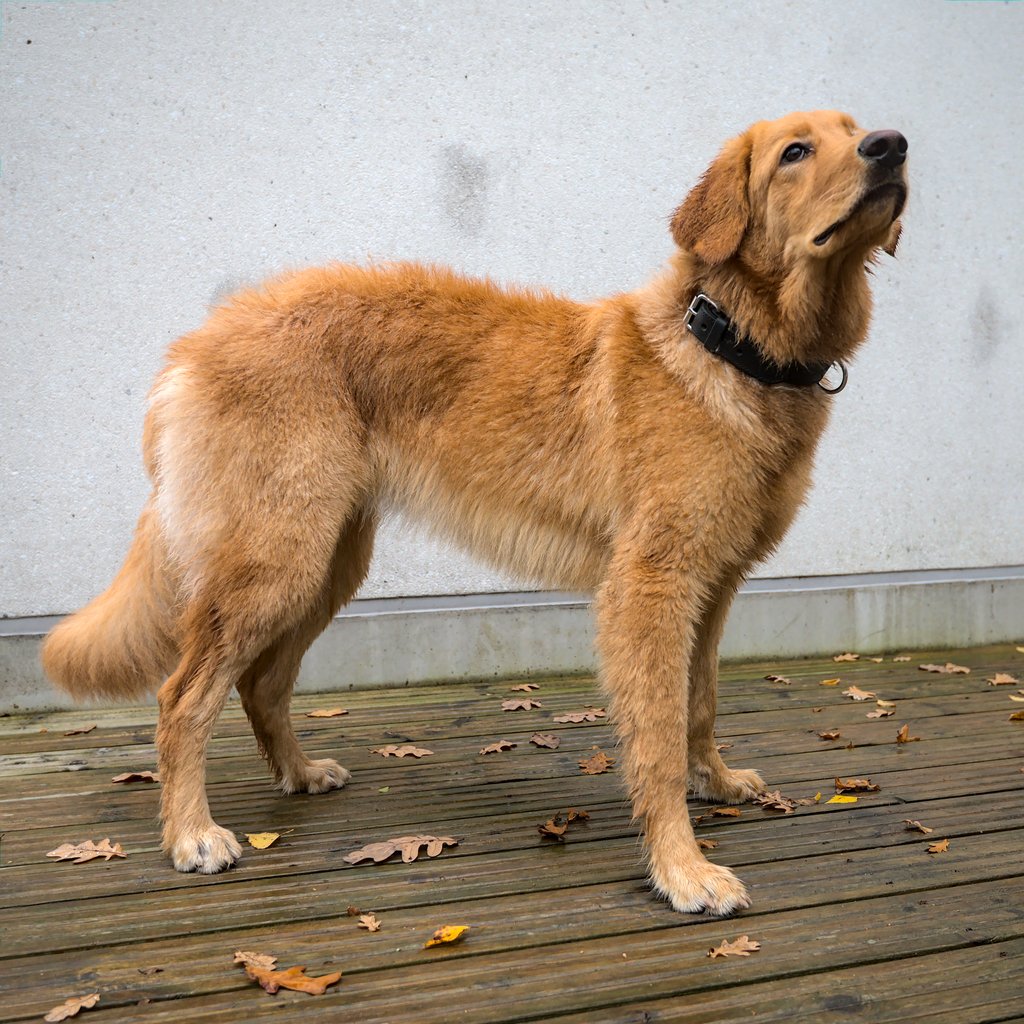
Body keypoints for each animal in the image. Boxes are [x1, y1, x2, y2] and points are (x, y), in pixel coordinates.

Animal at [41, 110, 905, 913]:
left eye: (855, 131)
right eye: (795, 151)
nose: (892, 146)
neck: (728, 346)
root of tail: (195, 344)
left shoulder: (715, 587)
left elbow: (701, 705)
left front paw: (715, 782)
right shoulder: (650, 589)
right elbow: (658, 735)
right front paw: (682, 869)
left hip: (324, 565)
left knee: (260, 683)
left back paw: (300, 772)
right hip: (274, 563)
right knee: (183, 697)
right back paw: (191, 834)